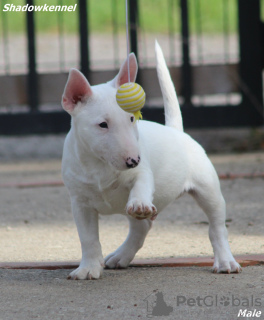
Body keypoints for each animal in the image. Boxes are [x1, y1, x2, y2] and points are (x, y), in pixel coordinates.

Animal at [62, 41, 241, 278]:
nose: (133, 160)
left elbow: (142, 183)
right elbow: (88, 238)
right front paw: (88, 269)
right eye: (102, 124)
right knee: (141, 228)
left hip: (208, 189)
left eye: (131, 118)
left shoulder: (143, 172)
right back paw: (120, 256)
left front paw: (140, 203)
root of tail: (176, 131)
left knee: (217, 227)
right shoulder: (80, 203)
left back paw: (225, 261)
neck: (100, 165)